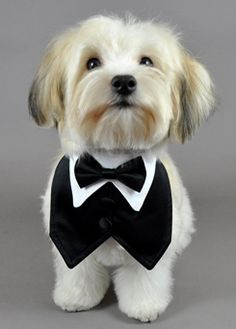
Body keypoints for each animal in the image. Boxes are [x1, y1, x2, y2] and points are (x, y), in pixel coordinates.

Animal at [28, 14, 215, 320]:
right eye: (92, 63)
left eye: (147, 61)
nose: (124, 81)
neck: (111, 171)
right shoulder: (67, 233)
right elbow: (77, 268)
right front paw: (76, 297)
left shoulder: (152, 238)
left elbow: (145, 275)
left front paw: (144, 306)